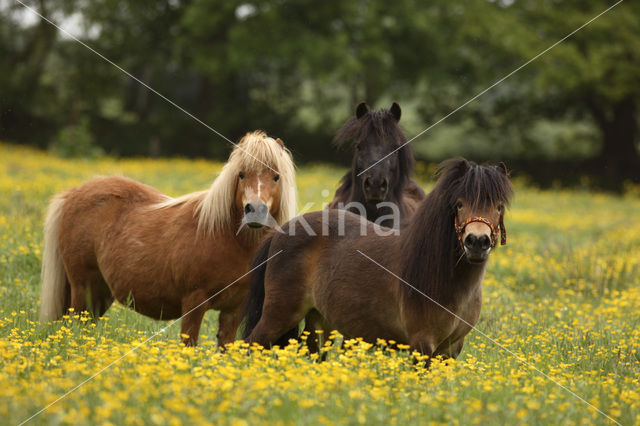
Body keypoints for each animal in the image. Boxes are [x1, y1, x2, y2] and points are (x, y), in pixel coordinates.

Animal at [40, 131, 298, 346]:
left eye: (276, 177)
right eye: (241, 174)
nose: (255, 210)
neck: (227, 238)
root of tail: (72, 194)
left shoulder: (233, 311)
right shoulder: (194, 303)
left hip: (100, 293)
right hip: (83, 286)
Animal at [242, 158, 512, 362]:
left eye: (499, 206)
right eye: (459, 204)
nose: (477, 242)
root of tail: (280, 232)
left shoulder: (451, 349)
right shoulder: (422, 344)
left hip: (320, 322)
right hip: (278, 315)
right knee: (251, 345)